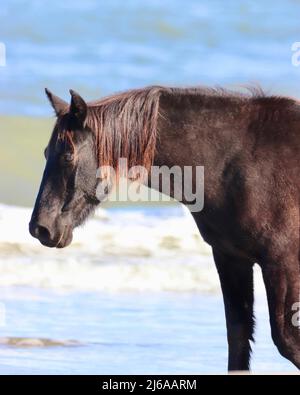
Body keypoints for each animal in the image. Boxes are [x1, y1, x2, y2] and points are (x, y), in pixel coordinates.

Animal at [29, 85, 300, 372]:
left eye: (67, 156)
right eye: (46, 153)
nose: (40, 227)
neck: (242, 163)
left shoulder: (282, 262)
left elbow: (287, 339)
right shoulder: (231, 259)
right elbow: (238, 339)